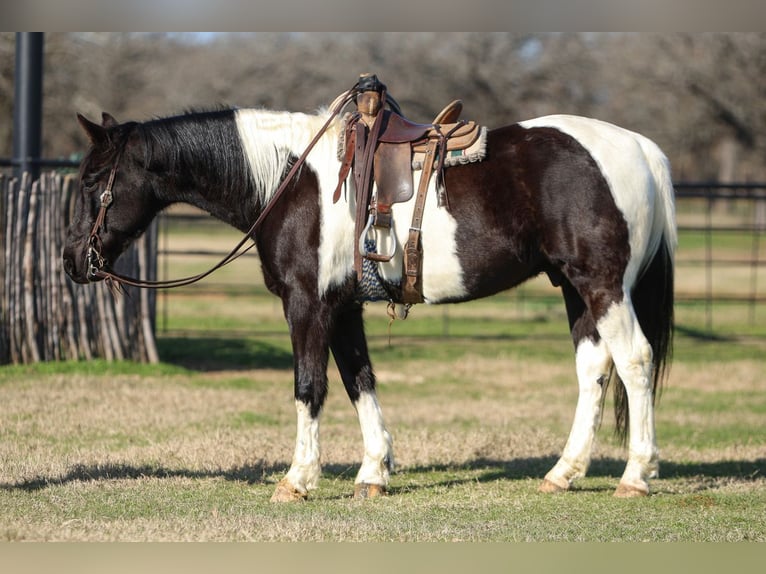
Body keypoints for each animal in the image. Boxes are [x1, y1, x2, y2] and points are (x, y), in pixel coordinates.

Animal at [66, 92, 680, 502]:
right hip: (575, 290)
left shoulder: (307, 304)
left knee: (634, 361)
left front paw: (297, 480)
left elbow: (309, 386)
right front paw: (374, 473)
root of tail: (641, 148)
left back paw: (635, 476)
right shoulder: (343, 309)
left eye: (93, 180)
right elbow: (358, 380)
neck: (291, 181)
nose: (73, 261)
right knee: (594, 370)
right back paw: (563, 473)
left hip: (602, 286)